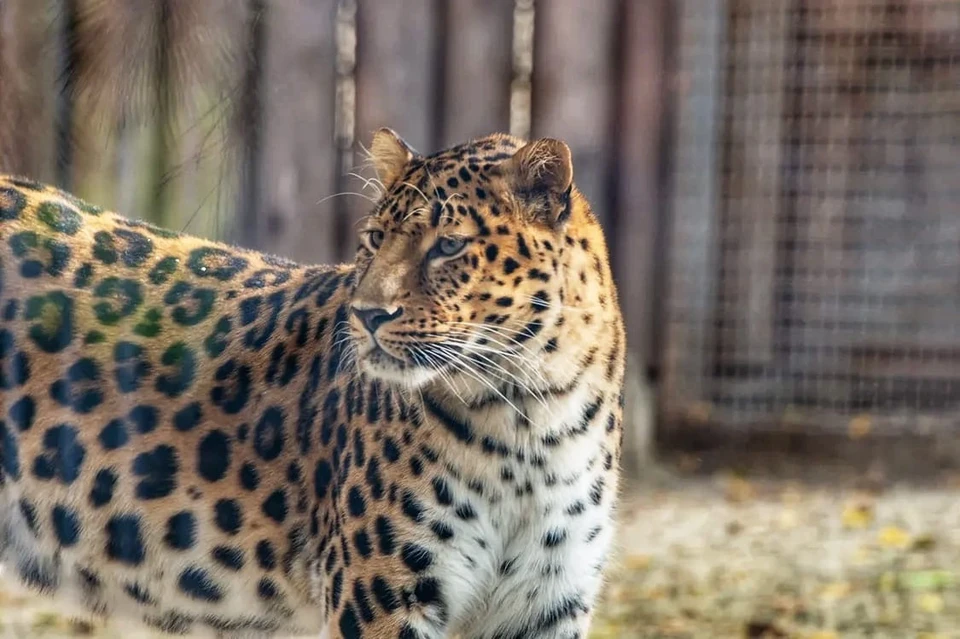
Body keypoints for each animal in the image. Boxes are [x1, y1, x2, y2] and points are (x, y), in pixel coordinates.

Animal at [0, 130, 628, 639]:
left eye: (449, 245)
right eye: (374, 238)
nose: (368, 315)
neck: (530, 414)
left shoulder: (547, 602)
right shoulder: (383, 598)